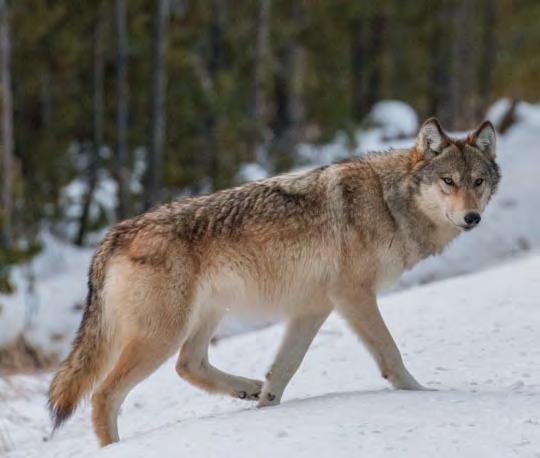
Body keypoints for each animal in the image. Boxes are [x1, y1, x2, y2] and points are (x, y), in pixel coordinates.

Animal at [48, 117, 500, 446]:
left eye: (478, 182)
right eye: (449, 181)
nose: (472, 218)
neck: (389, 203)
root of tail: (112, 236)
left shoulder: (314, 306)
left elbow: (285, 369)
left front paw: (266, 408)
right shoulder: (353, 296)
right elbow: (391, 354)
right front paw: (422, 396)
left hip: (205, 317)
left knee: (188, 365)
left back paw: (248, 388)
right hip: (162, 334)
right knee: (105, 395)